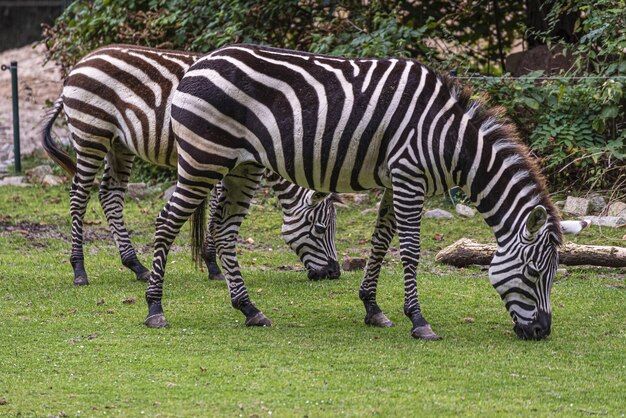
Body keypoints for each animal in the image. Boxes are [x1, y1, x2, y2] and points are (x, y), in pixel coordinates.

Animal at [41, 45, 338, 288]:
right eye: (320, 228)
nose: (334, 273)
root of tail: (80, 63)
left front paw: (211, 262)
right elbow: (217, 211)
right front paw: (213, 264)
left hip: (119, 143)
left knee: (110, 195)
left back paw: (136, 265)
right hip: (91, 133)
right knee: (79, 195)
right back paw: (79, 269)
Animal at [145, 44, 560, 342]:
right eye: (535, 272)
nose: (542, 332)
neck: (448, 137)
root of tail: (197, 65)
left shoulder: (395, 181)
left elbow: (379, 243)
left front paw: (372, 308)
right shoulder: (409, 176)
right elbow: (410, 251)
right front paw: (419, 320)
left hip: (241, 167)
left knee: (227, 232)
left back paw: (250, 309)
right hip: (203, 159)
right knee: (166, 222)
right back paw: (154, 309)